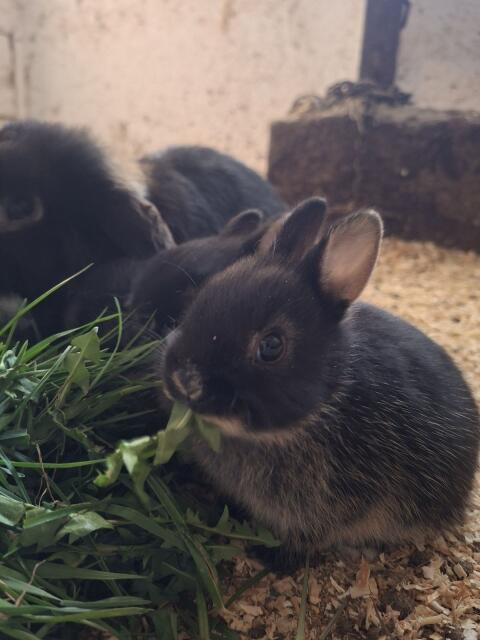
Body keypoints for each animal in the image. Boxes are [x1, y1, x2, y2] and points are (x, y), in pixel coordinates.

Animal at [161, 197, 480, 568]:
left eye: (272, 346)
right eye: (202, 297)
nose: (185, 380)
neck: (326, 400)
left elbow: (308, 538)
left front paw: (273, 560)